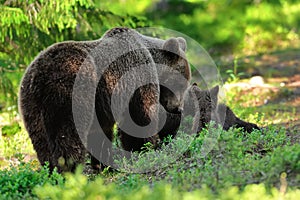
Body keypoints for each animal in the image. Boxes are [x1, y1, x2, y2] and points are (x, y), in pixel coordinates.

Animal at [18, 27, 190, 173]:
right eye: (181, 84)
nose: (178, 108)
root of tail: (42, 74)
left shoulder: (102, 105)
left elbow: (101, 132)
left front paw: (103, 164)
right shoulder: (136, 79)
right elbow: (140, 117)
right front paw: (145, 149)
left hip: (31, 104)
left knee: (41, 139)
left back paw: (51, 170)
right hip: (71, 94)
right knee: (67, 135)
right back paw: (70, 170)